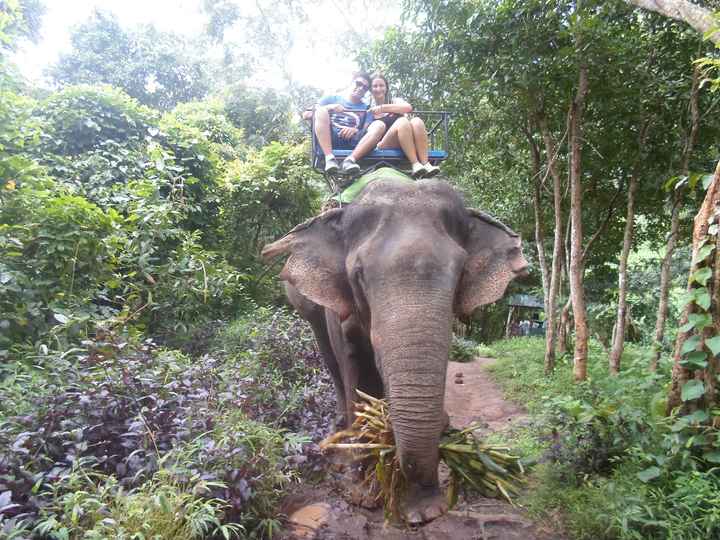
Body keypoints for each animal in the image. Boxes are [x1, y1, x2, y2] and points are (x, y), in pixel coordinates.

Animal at [261, 175, 527, 525]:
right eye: (358, 273)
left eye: (461, 273)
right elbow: (353, 366)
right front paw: (362, 492)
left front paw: (424, 509)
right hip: (305, 302)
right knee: (327, 352)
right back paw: (338, 437)